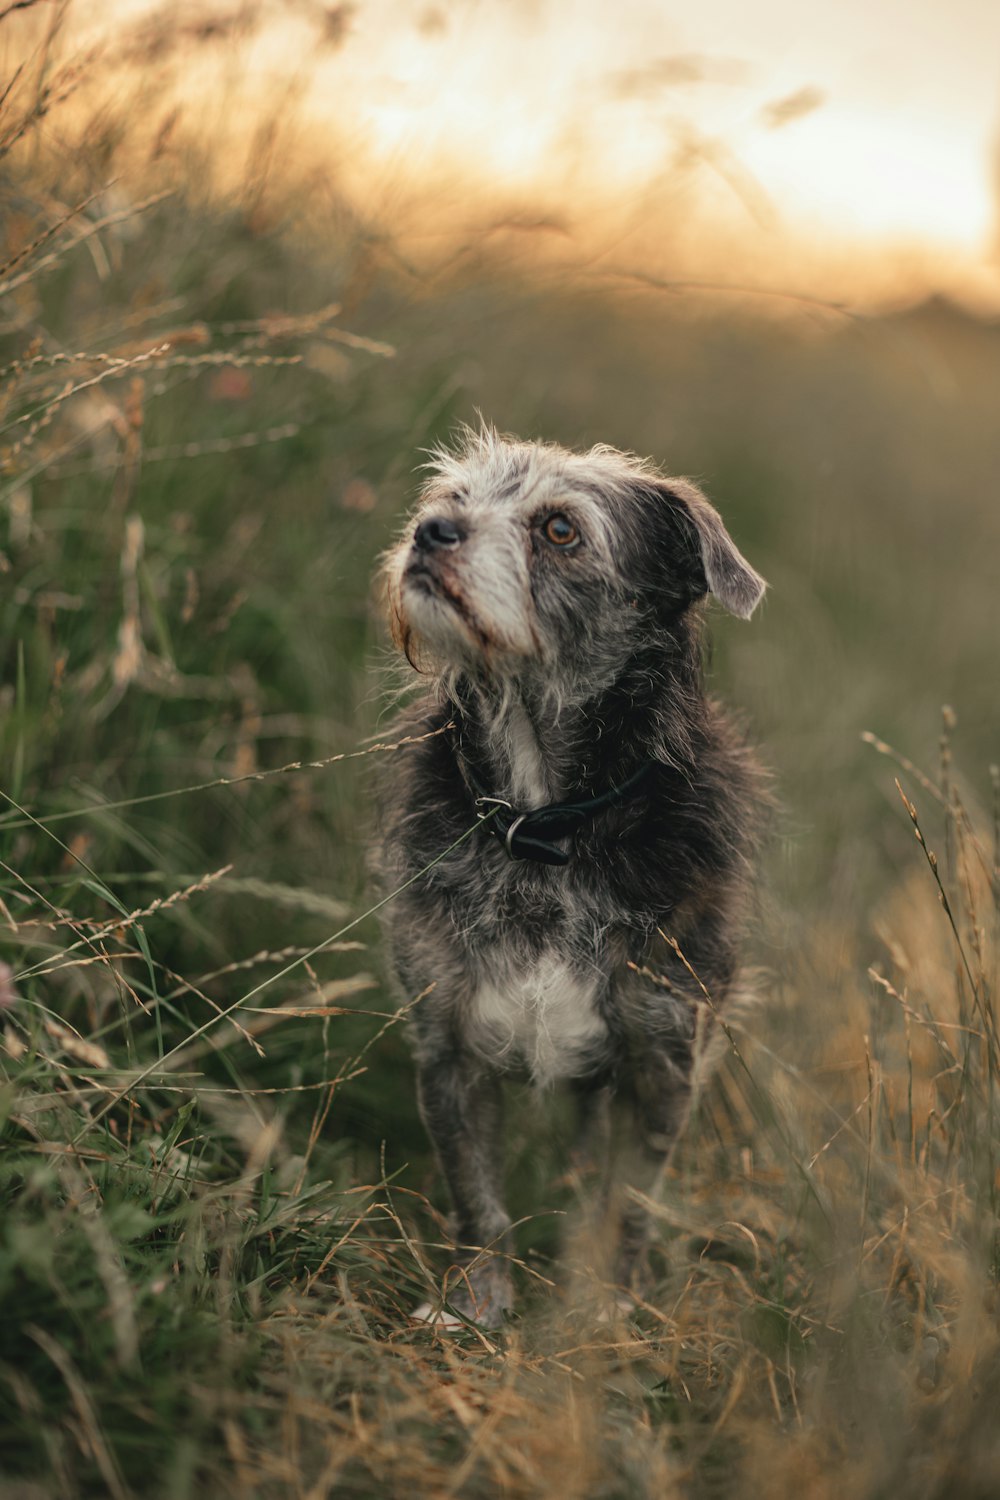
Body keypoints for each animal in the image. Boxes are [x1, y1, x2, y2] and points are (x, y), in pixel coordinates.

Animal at [373, 423, 767, 1326]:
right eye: (454, 498)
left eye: (559, 530)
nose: (431, 533)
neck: (549, 828)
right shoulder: (448, 1044)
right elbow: (477, 1196)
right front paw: (475, 1301)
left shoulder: (661, 1060)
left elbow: (626, 1204)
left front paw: (602, 1311)